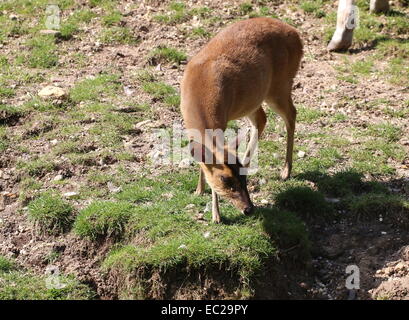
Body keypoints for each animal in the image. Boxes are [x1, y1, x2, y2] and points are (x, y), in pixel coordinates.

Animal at [180, 17, 302, 222]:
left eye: (243, 179)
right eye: (225, 180)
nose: (249, 209)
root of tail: (297, 35)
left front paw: (216, 216)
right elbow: (202, 159)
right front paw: (199, 190)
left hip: (280, 85)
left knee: (291, 113)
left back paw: (285, 171)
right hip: (254, 99)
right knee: (262, 119)